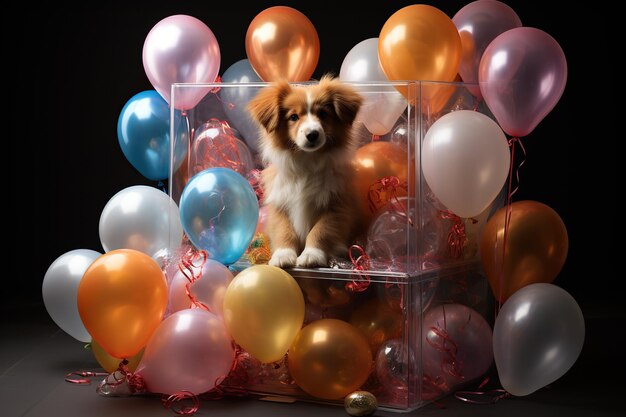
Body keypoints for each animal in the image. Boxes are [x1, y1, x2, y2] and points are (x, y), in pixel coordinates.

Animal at [247, 76, 364, 268]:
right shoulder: (280, 204)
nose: (312, 134)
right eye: (293, 117)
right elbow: (284, 230)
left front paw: (311, 255)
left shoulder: (335, 205)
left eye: (323, 114)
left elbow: (321, 231)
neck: (307, 161)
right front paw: (283, 255)